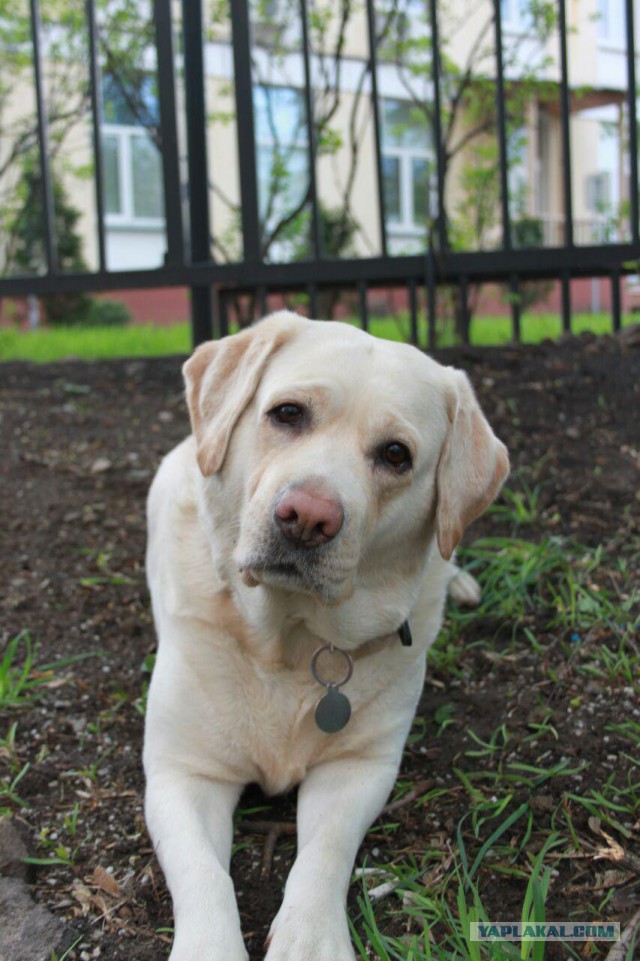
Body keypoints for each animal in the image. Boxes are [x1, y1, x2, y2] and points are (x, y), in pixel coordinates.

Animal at [145, 310, 510, 960]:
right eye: (288, 413)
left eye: (396, 455)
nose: (308, 517)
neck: (287, 641)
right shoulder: (181, 773)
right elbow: (204, 873)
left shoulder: (360, 767)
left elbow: (325, 851)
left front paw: (309, 938)